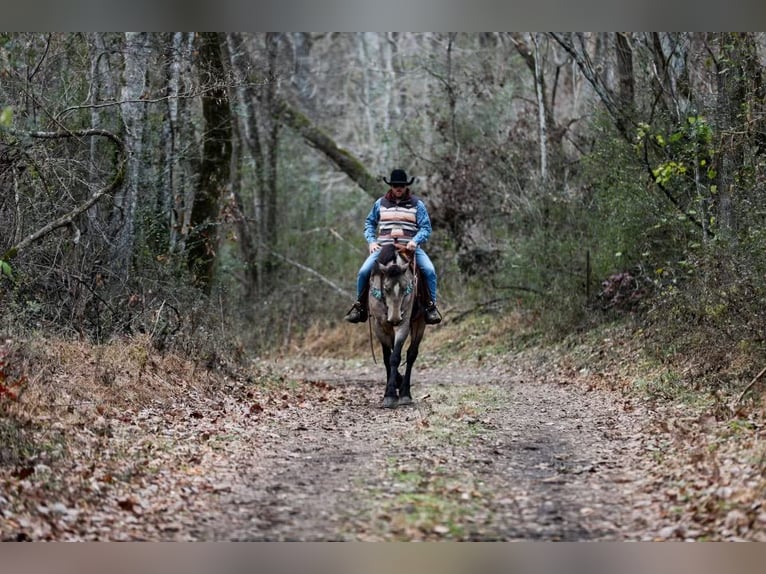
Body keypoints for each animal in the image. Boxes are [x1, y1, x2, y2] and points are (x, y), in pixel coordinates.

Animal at [368, 243, 428, 410]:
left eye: (405, 287)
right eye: (386, 288)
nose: (395, 318)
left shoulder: (404, 325)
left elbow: (395, 357)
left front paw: (391, 395)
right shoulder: (379, 326)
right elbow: (387, 358)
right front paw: (391, 391)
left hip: (419, 323)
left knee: (411, 355)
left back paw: (405, 393)